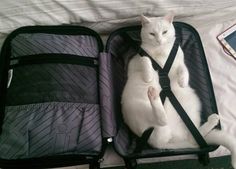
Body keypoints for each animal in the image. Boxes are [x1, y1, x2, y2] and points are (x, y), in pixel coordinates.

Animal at [121, 12, 236, 168]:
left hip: (191, 105)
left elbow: (183, 68)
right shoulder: (135, 62)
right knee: (161, 119)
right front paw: (149, 76)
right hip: (139, 111)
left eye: (164, 32)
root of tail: (162, 143)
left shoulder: (179, 60)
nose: (159, 40)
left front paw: (182, 81)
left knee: (193, 137)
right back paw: (153, 95)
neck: (161, 51)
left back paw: (211, 121)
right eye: (152, 34)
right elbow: (146, 60)